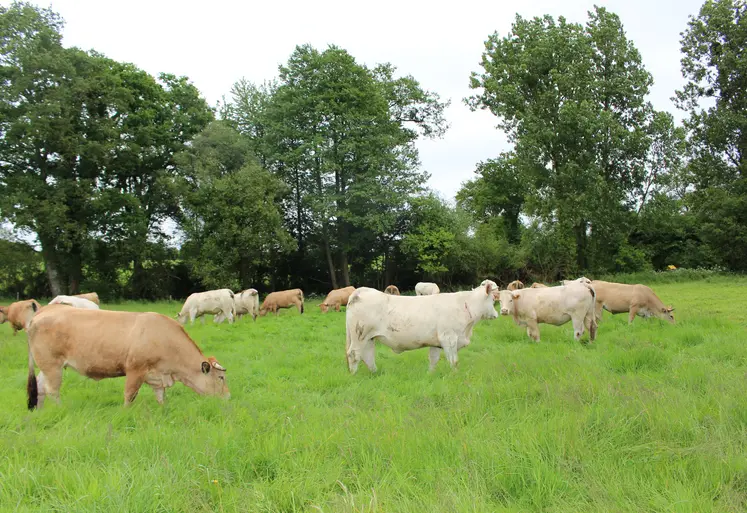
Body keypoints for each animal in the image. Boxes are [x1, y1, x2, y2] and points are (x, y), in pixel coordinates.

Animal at [25, 304, 231, 408]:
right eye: (221, 378)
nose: (228, 397)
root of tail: (43, 311)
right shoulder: (135, 370)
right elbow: (129, 395)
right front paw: (126, 412)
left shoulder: (157, 376)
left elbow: (161, 397)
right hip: (52, 365)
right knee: (52, 390)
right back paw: (60, 408)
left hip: (47, 367)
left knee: (41, 387)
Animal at [346, 284, 500, 372]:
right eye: (493, 300)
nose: (496, 314)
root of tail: (361, 291)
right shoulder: (449, 338)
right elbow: (454, 361)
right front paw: (454, 375)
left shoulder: (436, 342)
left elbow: (433, 359)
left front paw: (430, 374)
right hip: (359, 335)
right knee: (353, 354)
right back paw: (354, 374)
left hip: (369, 338)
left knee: (368, 355)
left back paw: (375, 372)